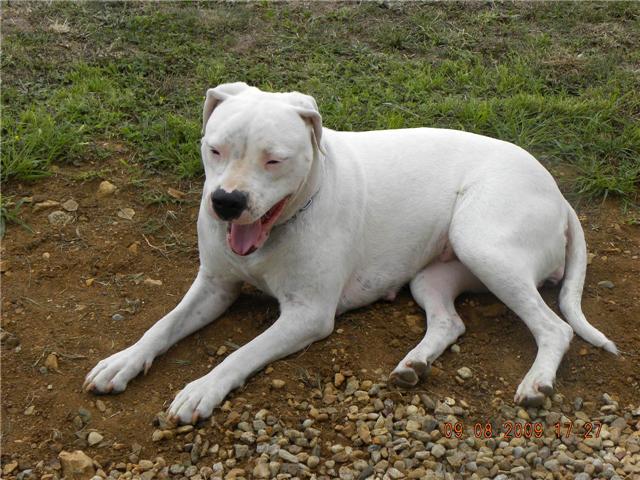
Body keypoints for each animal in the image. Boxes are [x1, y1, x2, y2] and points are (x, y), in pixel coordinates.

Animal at [85, 82, 617, 424]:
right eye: (214, 149)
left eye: (274, 160)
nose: (227, 202)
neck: (283, 223)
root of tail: (556, 192)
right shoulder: (213, 287)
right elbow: (163, 325)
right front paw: (122, 361)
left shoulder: (307, 315)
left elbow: (242, 353)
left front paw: (202, 388)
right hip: (434, 273)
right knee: (450, 321)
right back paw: (415, 364)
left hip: (483, 243)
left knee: (556, 327)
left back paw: (537, 384)